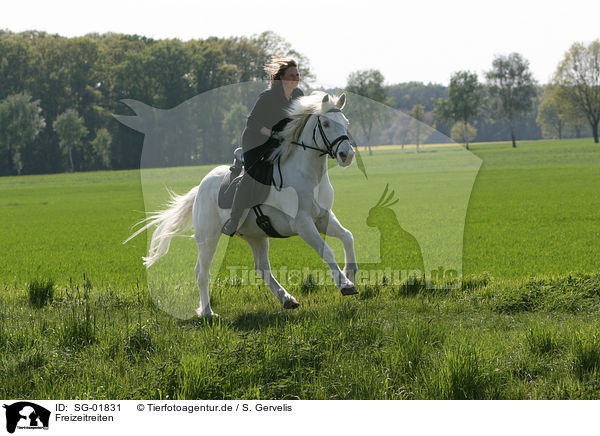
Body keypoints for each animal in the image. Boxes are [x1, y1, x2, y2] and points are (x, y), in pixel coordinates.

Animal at [127, 93, 356, 316]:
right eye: (326, 123)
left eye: (346, 122)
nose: (347, 155)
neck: (308, 175)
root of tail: (200, 186)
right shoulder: (303, 223)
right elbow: (327, 251)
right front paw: (345, 285)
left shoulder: (323, 217)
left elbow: (347, 236)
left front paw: (350, 274)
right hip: (208, 237)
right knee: (202, 272)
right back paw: (208, 312)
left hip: (256, 235)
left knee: (262, 267)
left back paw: (287, 299)